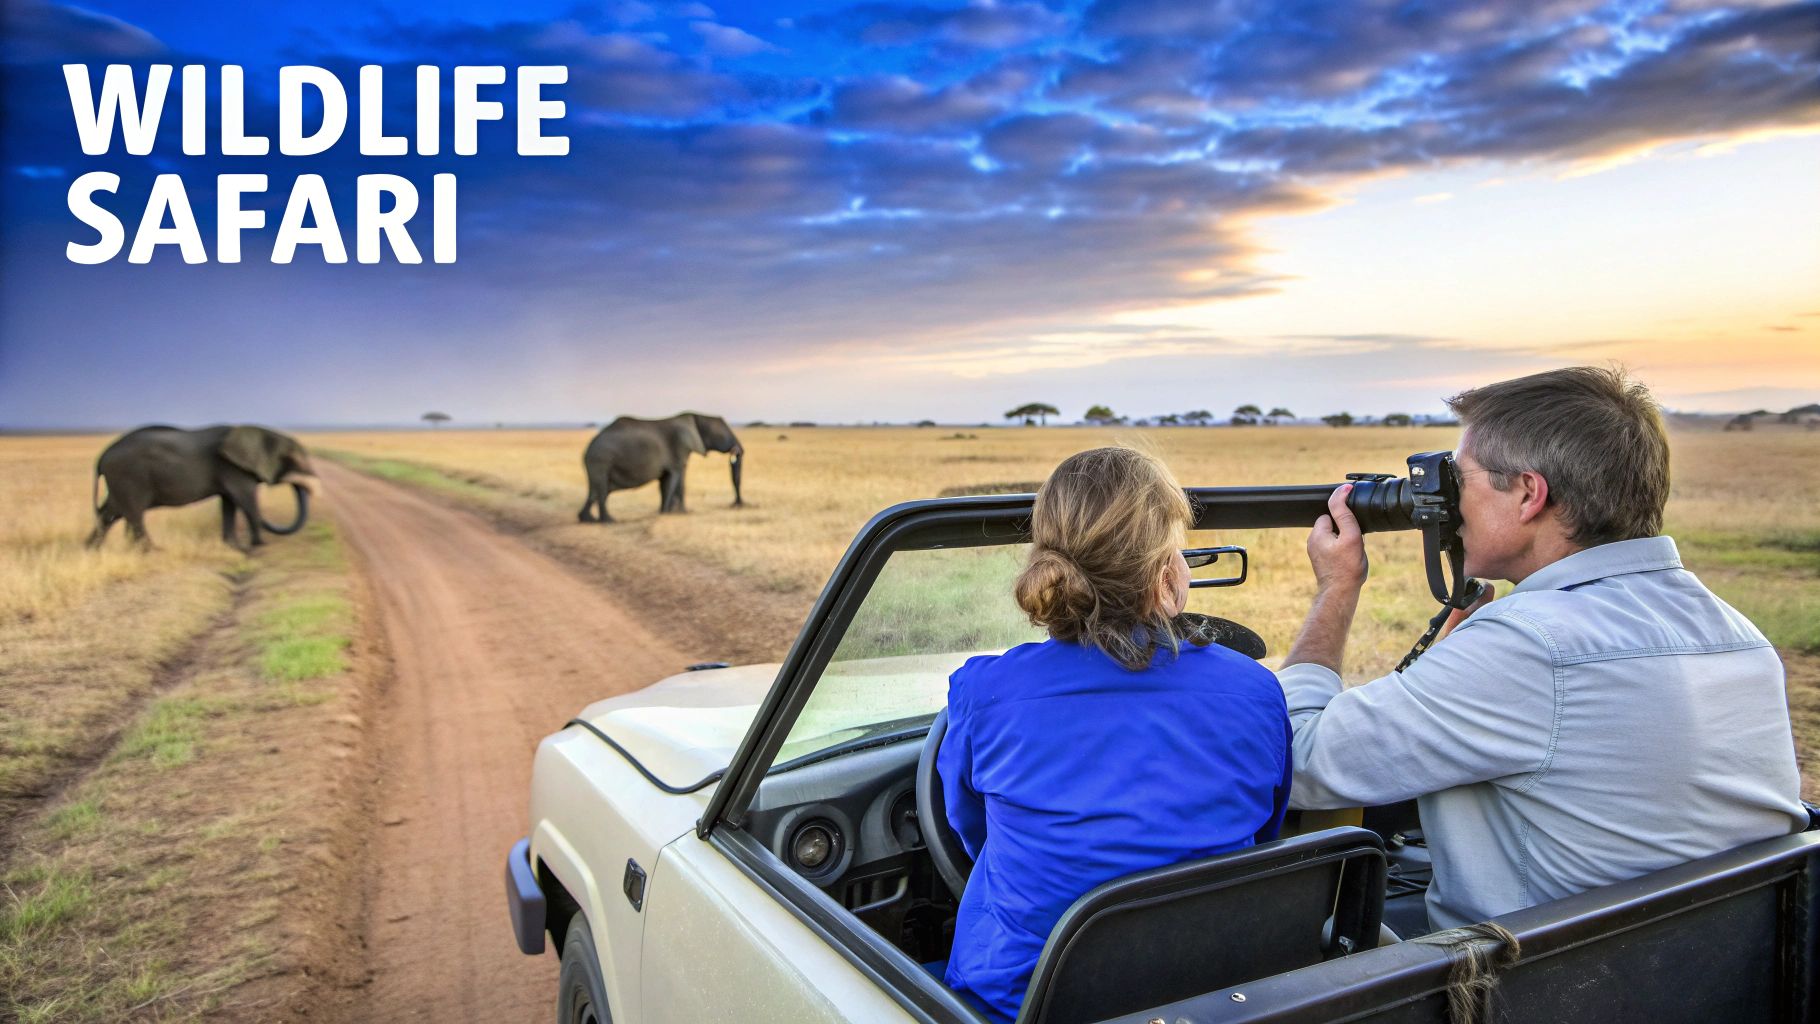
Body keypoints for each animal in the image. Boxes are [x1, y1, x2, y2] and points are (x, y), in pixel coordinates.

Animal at [87, 424, 321, 550]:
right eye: (291, 458)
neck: (260, 431)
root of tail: (102, 457)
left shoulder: (230, 471)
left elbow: (229, 504)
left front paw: (233, 546)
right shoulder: (232, 469)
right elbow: (245, 499)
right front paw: (259, 545)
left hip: (120, 481)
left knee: (110, 513)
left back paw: (91, 550)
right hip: (129, 477)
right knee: (133, 513)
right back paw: (152, 551)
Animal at [578, 413, 743, 523]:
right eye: (724, 432)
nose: (736, 504)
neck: (696, 416)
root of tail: (588, 448)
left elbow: (666, 482)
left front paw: (668, 512)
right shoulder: (679, 449)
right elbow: (676, 480)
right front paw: (674, 513)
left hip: (598, 463)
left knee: (596, 490)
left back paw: (587, 519)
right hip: (601, 460)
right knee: (601, 489)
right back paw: (609, 521)